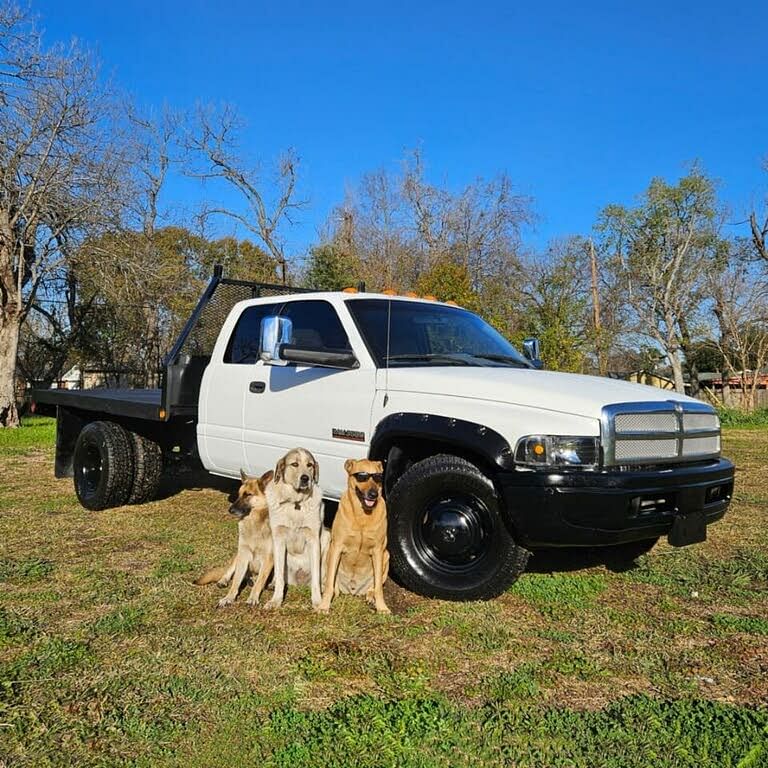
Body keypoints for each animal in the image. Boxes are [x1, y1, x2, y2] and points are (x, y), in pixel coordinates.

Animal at [195, 468, 276, 608]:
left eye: (248, 495)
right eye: (238, 494)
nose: (230, 510)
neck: (254, 523)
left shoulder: (268, 559)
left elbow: (260, 581)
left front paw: (253, 598)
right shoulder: (243, 555)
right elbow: (236, 581)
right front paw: (228, 597)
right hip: (237, 556)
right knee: (230, 571)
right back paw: (224, 580)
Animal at [264, 448, 328, 608]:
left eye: (310, 465)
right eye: (294, 464)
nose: (305, 478)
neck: (295, 503)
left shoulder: (314, 539)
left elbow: (316, 579)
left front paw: (318, 602)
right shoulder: (278, 538)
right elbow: (280, 576)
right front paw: (276, 600)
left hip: (327, 537)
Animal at [316, 460, 390, 616]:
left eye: (378, 477)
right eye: (362, 476)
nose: (374, 494)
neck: (363, 516)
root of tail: (353, 590)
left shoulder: (378, 550)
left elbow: (379, 588)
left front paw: (382, 607)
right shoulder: (336, 546)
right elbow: (330, 582)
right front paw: (324, 606)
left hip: (387, 555)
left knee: (374, 586)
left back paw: (371, 596)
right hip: (327, 553)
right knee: (331, 583)